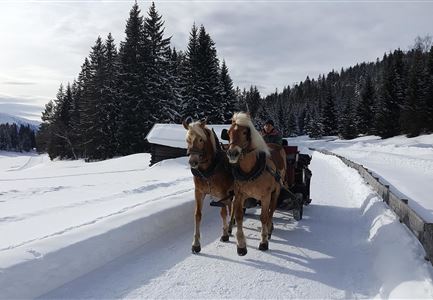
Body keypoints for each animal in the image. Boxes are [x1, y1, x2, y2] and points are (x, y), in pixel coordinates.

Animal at [184, 117, 235, 253]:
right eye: (187, 139)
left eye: (201, 139)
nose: (193, 162)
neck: (209, 170)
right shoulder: (199, 192)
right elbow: (197, 215)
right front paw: (196, 244)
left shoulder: (222, 194)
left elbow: (223, 213)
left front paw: (224, 235)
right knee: (231, 206)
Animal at [224, 112, 286, 255]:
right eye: (229, 132)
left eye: (245, 132)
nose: (232, 153)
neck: (251, 170)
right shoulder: (240, 195)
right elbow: (239, 216)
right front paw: (241, 245)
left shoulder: (265, 196)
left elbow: (263, 217)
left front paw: (263, 242)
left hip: (276, 191)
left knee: (271, 210)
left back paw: (269, 229)